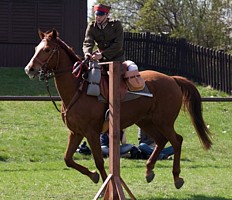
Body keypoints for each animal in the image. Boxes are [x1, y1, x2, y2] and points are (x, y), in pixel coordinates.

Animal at [24, 29, 212, 189]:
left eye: (47, 49)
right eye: (36, 48)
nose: (29, 69)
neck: (79, 89)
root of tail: (172, 79)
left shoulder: (91, 132)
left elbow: (99, 161)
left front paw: (105, 185)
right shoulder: (76, 132)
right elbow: (68, 159)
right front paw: (93, 175)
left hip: (164, 122)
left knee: (176, 141)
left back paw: (177, 177)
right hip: (146, 121)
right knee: (161, 141)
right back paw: (149, 171)